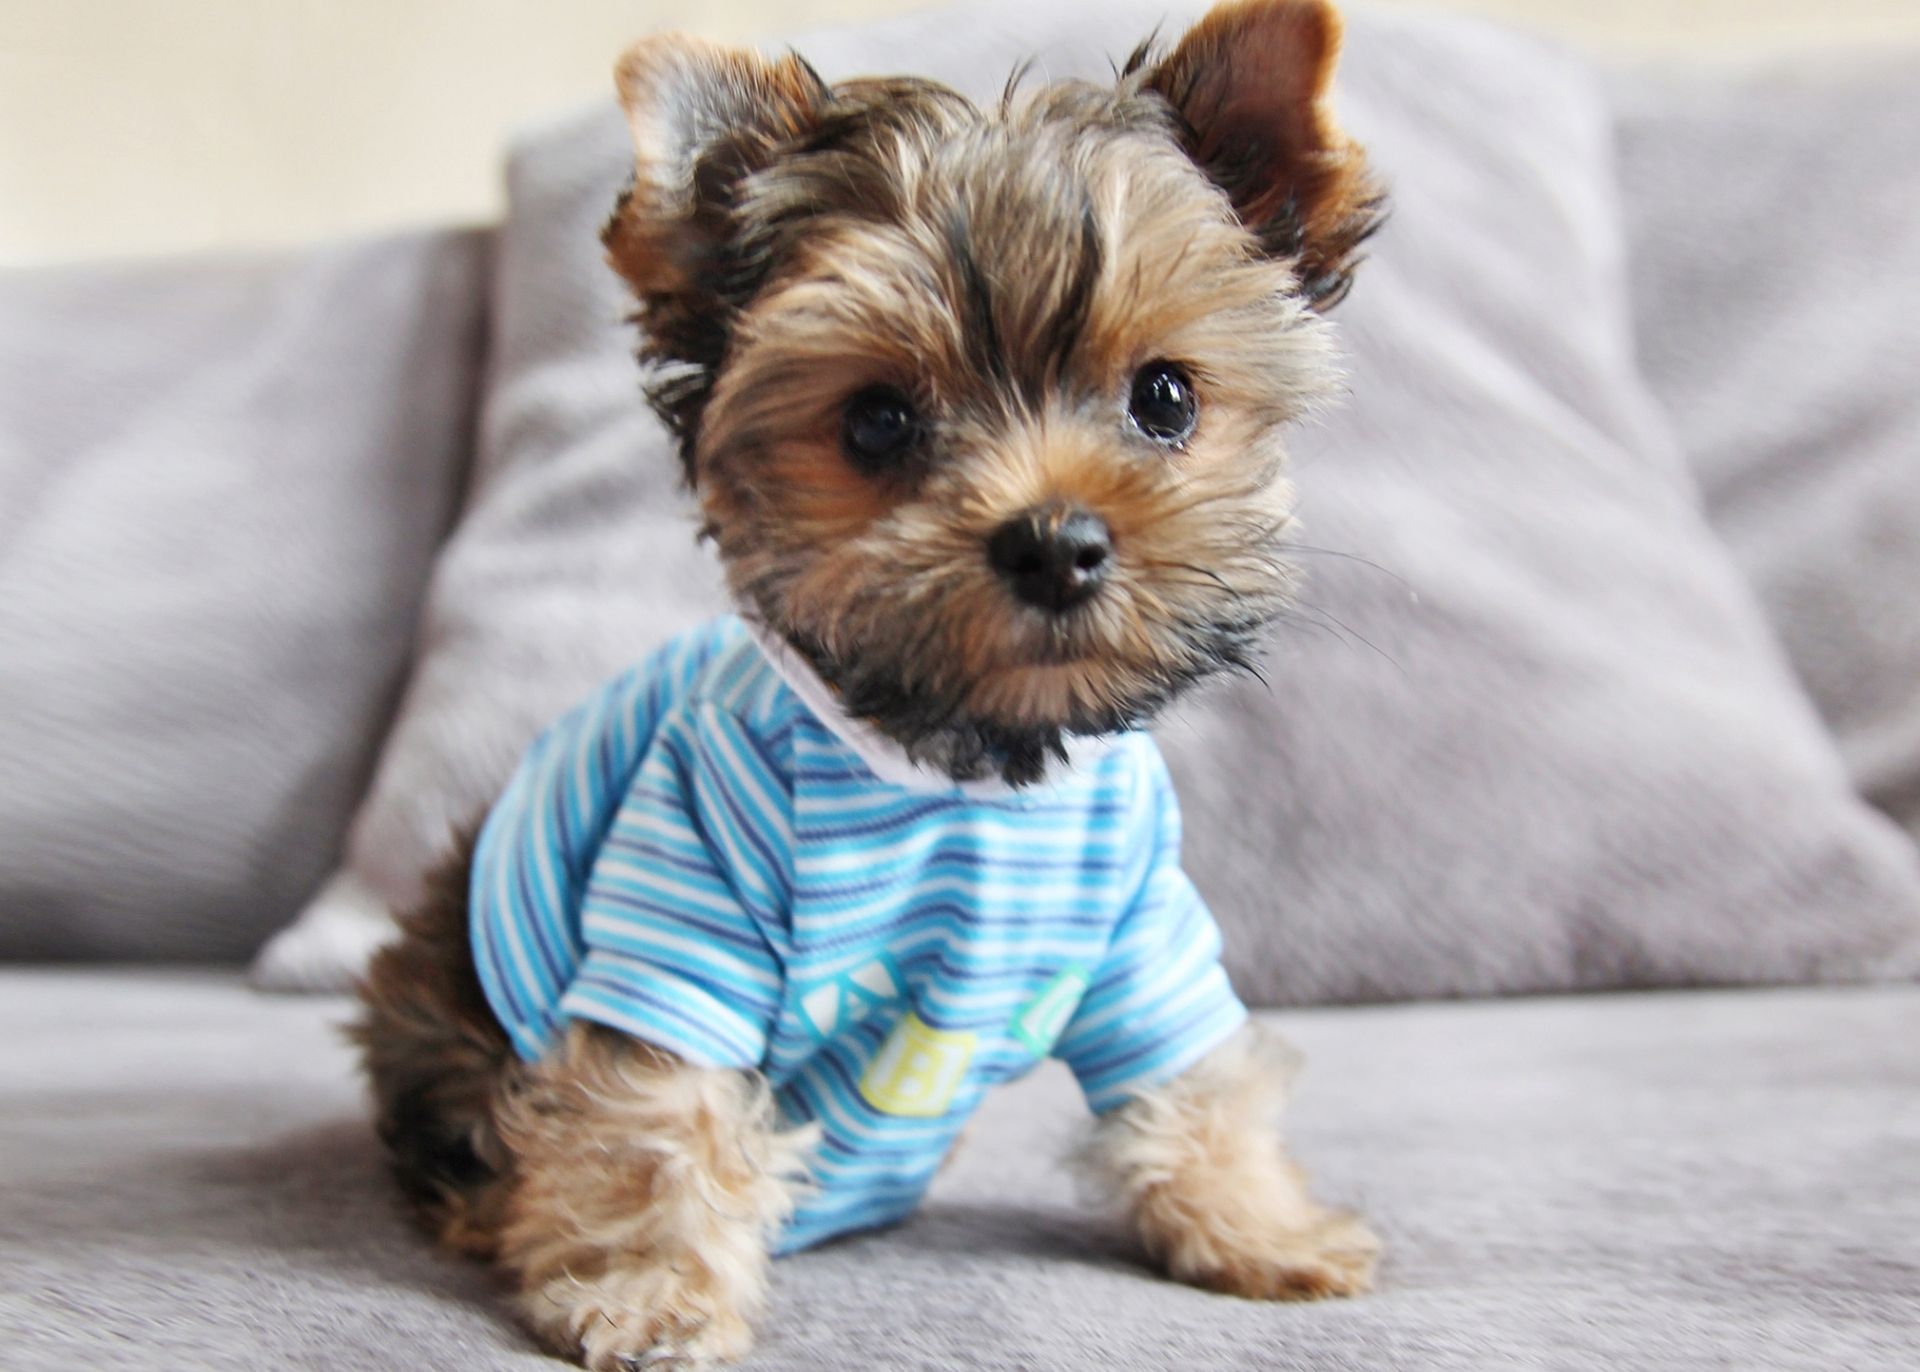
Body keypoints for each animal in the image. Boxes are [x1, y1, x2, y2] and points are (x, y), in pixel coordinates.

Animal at [357, 5, 1382, 1366]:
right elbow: (657, 1101)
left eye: (1164, 396)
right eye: (878, 422)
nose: (1054, 542)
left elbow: (1190, 1069)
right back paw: (495, 1209)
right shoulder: (682, 879)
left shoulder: (1141, 924)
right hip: (448, 988)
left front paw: (1259, 1223)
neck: (967, 759)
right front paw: (653, 1288)